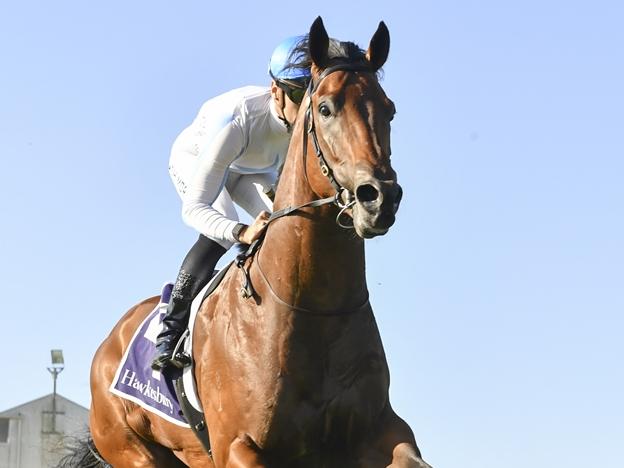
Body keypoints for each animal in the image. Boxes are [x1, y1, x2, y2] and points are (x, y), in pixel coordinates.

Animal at [90, 17, 432, 468]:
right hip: (132, 450)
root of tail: (107, 346)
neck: (311, 308)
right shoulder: (237, 445)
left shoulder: (381, 431)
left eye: (389, 110)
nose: (378, 197)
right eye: (325, 108)